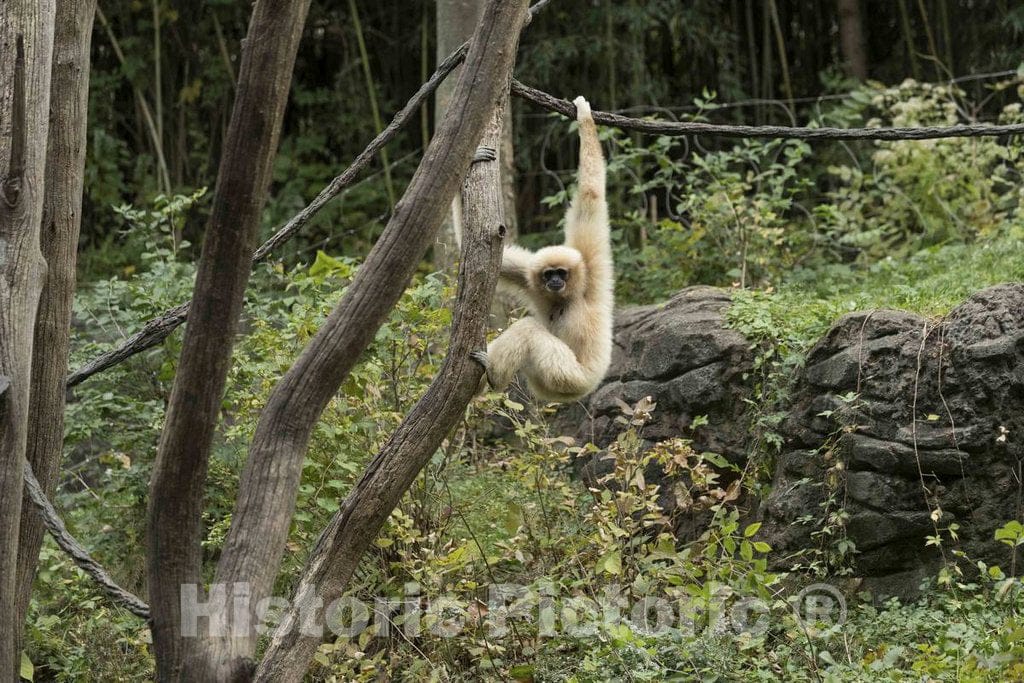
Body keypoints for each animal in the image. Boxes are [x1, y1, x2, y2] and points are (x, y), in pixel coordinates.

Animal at [471, 96, 613, 403]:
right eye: (549, 274)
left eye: (561, 272)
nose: (555, 280)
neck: (567, 298)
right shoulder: (530, 276)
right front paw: (473, 157)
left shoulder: (590, 271)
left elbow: (591, 196)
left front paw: (584, 117)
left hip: (569, 378)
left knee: (529, 331)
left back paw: (493, 375)